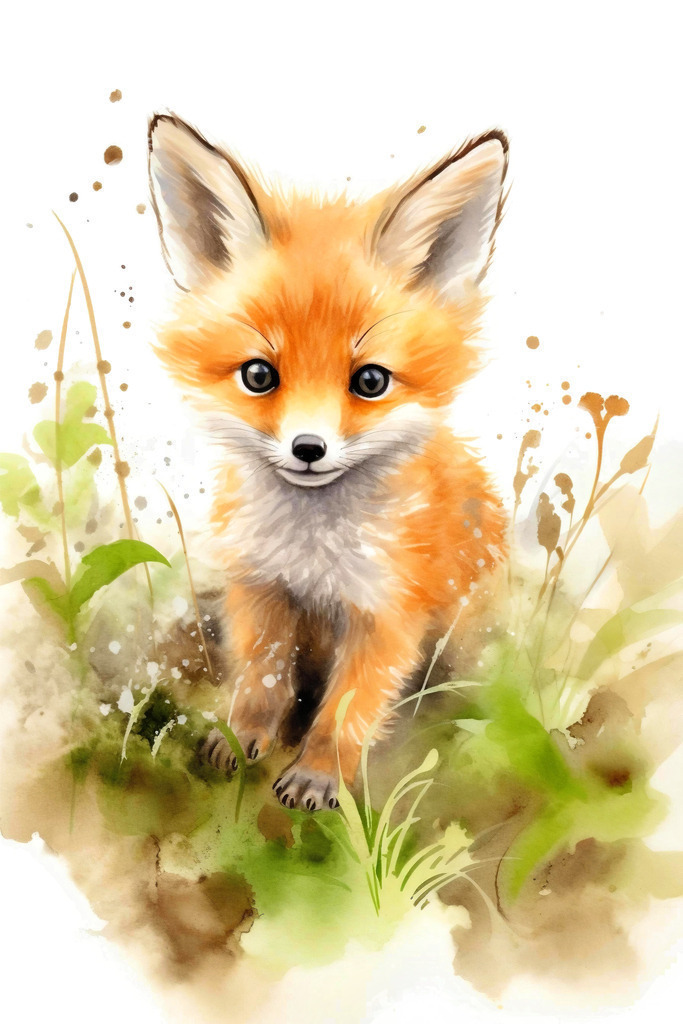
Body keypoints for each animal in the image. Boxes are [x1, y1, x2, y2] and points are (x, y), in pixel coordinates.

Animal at [148, 114, 508, 811]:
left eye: (370, 381)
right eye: (259, 375)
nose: (307, 449)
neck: (312, 555)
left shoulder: (387, 613)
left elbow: (346, 711)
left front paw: (318, 772)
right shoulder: (261, 586)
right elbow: (262, 680)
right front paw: (243, 738)